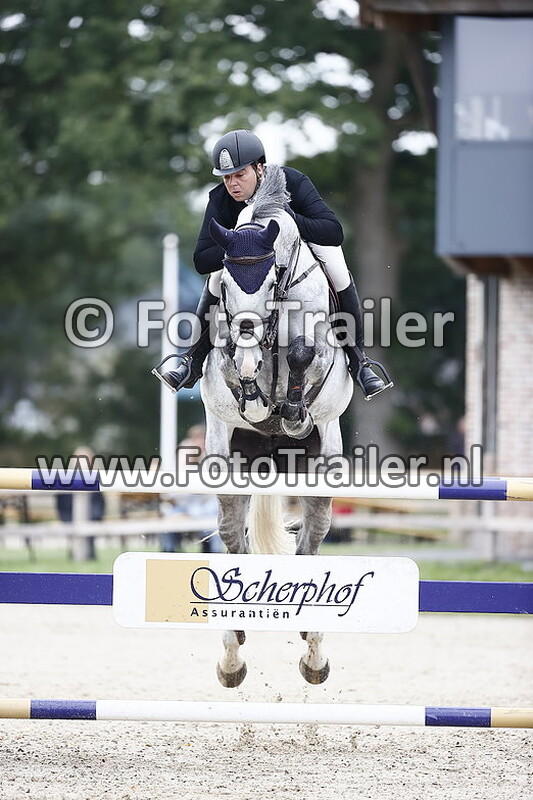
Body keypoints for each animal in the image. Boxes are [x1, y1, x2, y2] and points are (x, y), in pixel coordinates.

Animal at [199, 164, 353, 687]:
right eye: (225, 286)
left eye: (269, 283)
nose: (248, 357)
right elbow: (237, 369)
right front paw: (251, 384)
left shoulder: (317, 348)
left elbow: (304, 353)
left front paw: (290, 408)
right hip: (229, 462)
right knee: (234, 539)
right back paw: (232, 653)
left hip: (322, 466)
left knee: (311, 542)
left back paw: (314, 653)